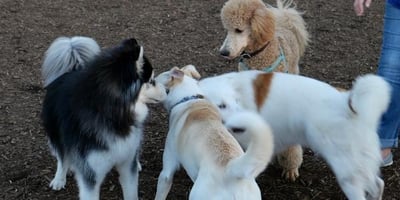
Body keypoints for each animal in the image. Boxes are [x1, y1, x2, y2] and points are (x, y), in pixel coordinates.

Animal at [40, 36, 153, 200]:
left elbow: (131, 193)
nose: (168, 89)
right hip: (56, 133)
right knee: (62, 157)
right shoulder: (90, 175)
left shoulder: (127, 164)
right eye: (151, 81)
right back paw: (59, 178)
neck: (112, 115)